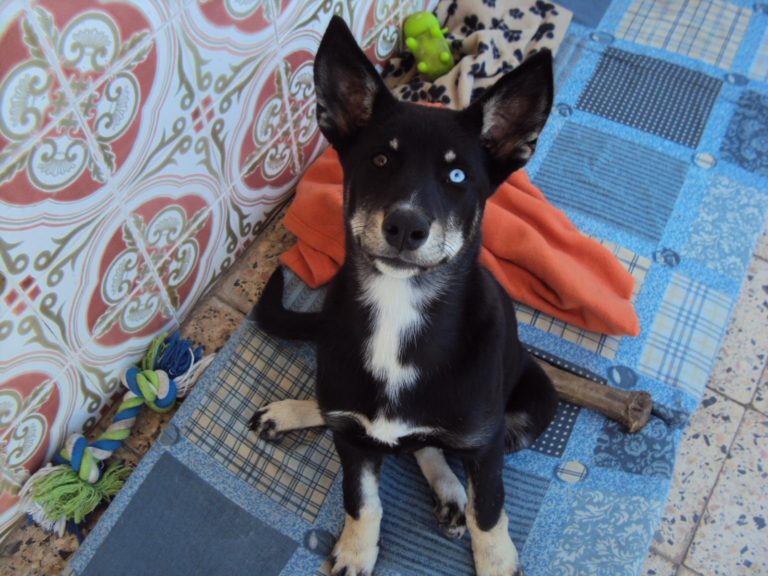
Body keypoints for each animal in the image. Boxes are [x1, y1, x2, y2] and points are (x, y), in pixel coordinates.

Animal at [252, 16, 560, 576]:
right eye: (379, 159)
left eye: (458, 175)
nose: (405, 227)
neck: (399, 306)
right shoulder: (352, 443)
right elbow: (361, 499)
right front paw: (356, 551)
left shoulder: (484, 443)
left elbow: (489, 508)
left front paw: (495, 557)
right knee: (353, 419)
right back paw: (295, 413)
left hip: (533, 406)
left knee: (432, 447)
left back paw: (449, 490)